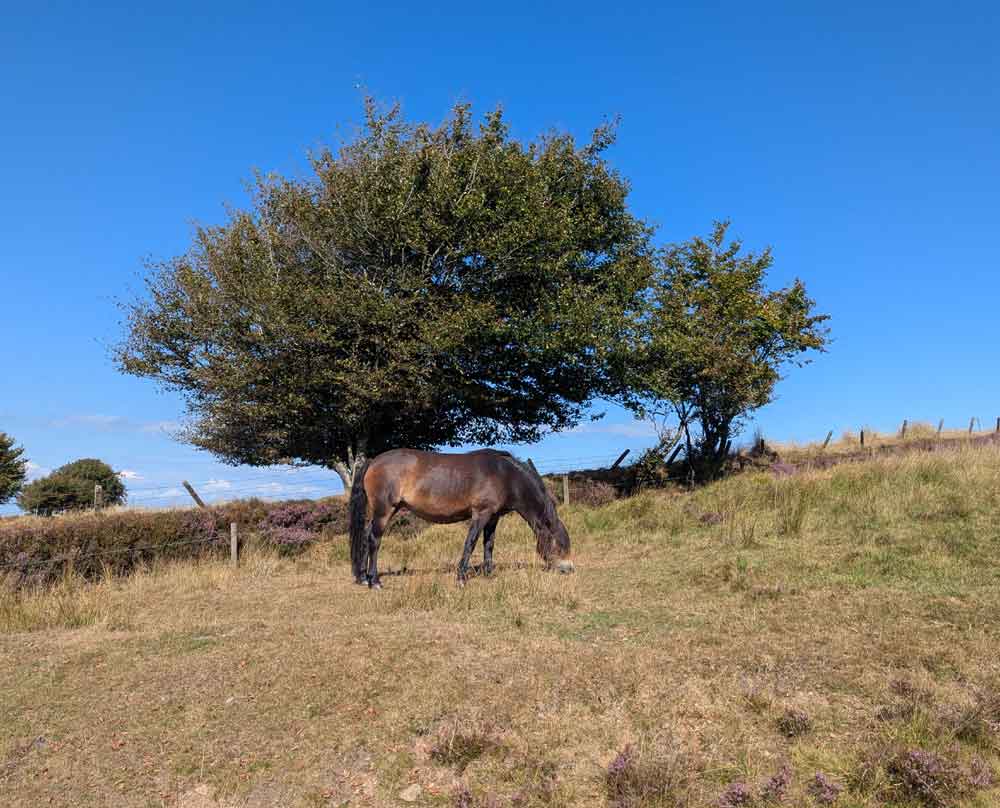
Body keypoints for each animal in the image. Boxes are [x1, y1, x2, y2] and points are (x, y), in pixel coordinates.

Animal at [349, 448, 574, 588]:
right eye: (560, 545)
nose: (569, 569)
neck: (505, 475)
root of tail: (373, 461)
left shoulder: (493, 517)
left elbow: (489, 544)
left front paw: (489, 574)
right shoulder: (481, 513)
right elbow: (471, 543)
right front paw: (461, 578)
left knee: (367, 537)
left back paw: (363, 578)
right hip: (384, 511)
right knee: (374, 540)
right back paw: (375, 582)